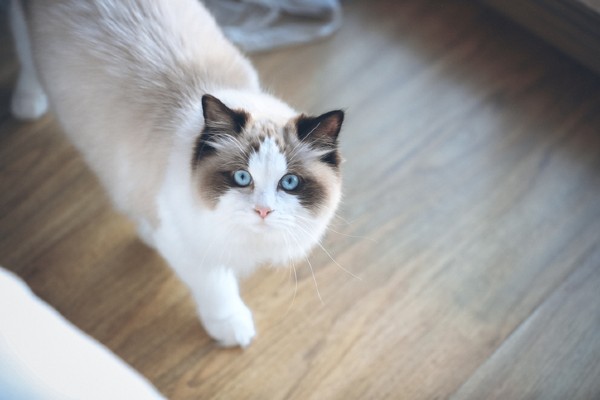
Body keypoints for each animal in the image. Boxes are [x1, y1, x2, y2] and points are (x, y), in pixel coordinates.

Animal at [11, 0, 344, 346]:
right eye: (242, 178)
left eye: (289, 182)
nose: (263, 210)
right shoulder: (185, 242)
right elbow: (216, 287)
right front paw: (231, 328)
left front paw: (145, 232)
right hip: (21, 25)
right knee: (26, 57)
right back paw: (28, 102)